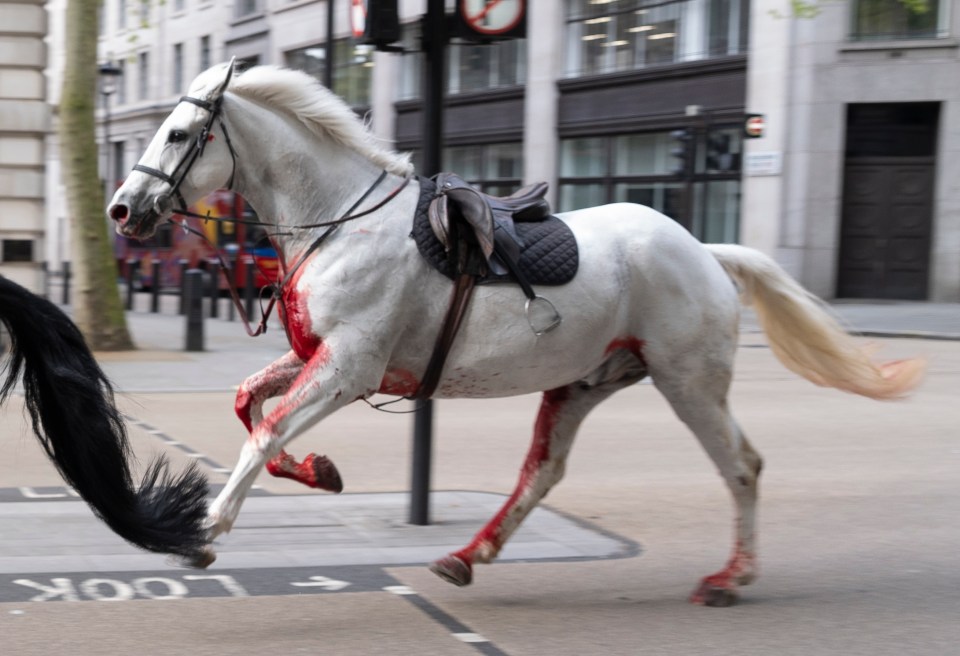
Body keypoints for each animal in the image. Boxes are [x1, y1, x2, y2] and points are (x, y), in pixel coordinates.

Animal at [105, 61, 924, 604]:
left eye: (180, 133)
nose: (121, 209)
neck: (340, 221)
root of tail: (704, 250)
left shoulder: (348, 366)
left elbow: (265, 430)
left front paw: (207, 532)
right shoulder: (320, 357)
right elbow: (249, 404)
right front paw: (319, 470)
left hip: (687, 380)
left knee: (742, 467)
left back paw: (731, 575)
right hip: (584, 383)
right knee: (543, 472)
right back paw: (470, 554)